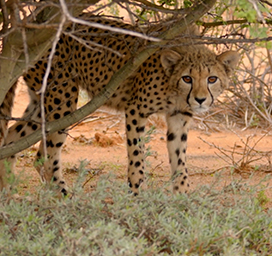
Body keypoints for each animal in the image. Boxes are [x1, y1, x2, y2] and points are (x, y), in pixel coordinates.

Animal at [0, 15, 238, 195]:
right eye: (187, 78)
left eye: (212, 79)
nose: (200, 99)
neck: (173, 87)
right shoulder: (136, 109)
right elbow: (137, 155)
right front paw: (136, 192)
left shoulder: (179, 117)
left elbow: (179, 158)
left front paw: (182, 195)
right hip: (62, 97)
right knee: (46, 157)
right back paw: (64, 197)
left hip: (42, 103)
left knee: (13, 137)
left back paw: (9, 193)